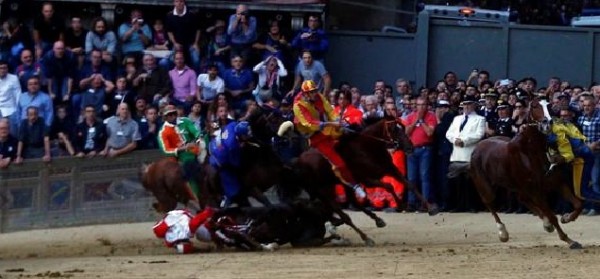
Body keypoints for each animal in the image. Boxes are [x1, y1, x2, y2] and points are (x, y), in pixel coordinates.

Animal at [472, 99, 584, 249]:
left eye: (551, 106)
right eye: (535, 106)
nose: (547, 123)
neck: (532, 153)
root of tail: (478, 146)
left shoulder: (557, 183)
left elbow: (578, 204)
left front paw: (566, 218)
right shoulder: (535, 191)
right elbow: (552, 216)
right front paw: (569, 240)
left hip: (517, 186)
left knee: (522, 198)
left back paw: (546, 224)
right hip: (485, 185)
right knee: (489, 202)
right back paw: (503, 233)